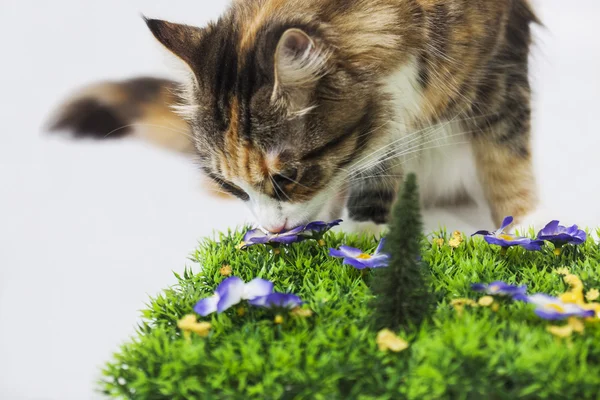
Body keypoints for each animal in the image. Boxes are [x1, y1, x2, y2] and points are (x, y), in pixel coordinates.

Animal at [49, 0, 540, 234]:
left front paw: (525, 227)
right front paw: (366, 230)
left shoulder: (502, 66)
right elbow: (376, 166)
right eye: (231, 184)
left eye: (286, 178)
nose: (271, 229)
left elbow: (506, 157)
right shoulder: (384, 130)